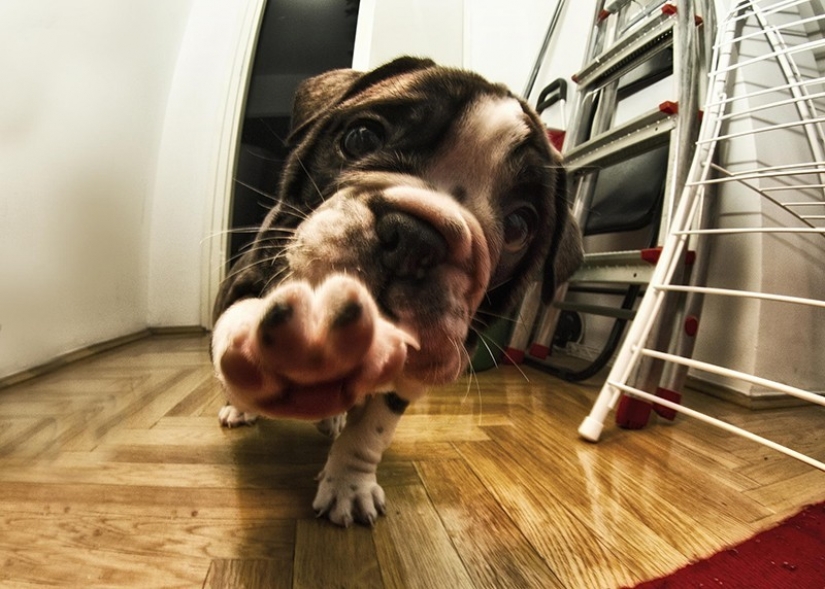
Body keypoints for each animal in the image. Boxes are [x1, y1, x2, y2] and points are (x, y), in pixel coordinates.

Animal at [212, 56, 584, 524]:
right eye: (360, 137)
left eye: (519, 225)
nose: (414, 238)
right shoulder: (245, 281)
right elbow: (235, 326)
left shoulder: (408, 374)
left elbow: (371, 430)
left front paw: (348, 485)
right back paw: (244, 405)